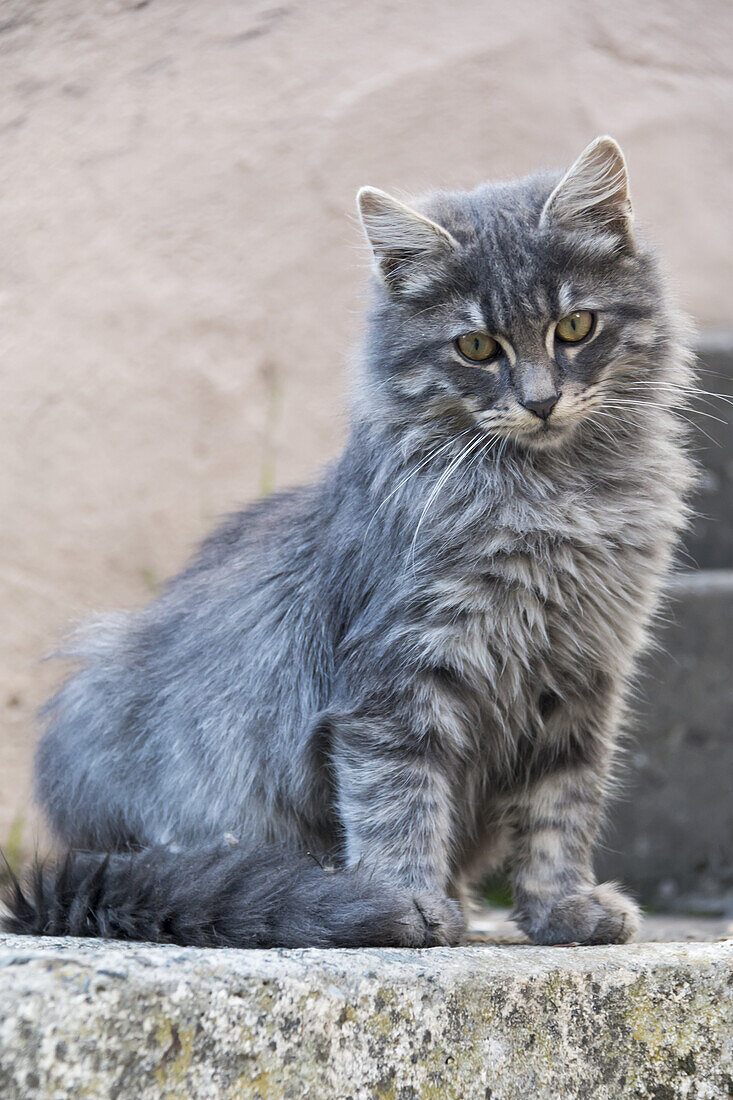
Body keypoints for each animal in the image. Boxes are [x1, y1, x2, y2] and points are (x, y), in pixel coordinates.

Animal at [4, 135, 691, 946]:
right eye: (476, 346)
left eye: (575, 328)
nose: (541, 401)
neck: (558, 498)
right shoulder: (396, 676)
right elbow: (399, 800)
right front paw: (405, 905)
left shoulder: (579, 679)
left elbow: (561, 811)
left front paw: (562, 909)